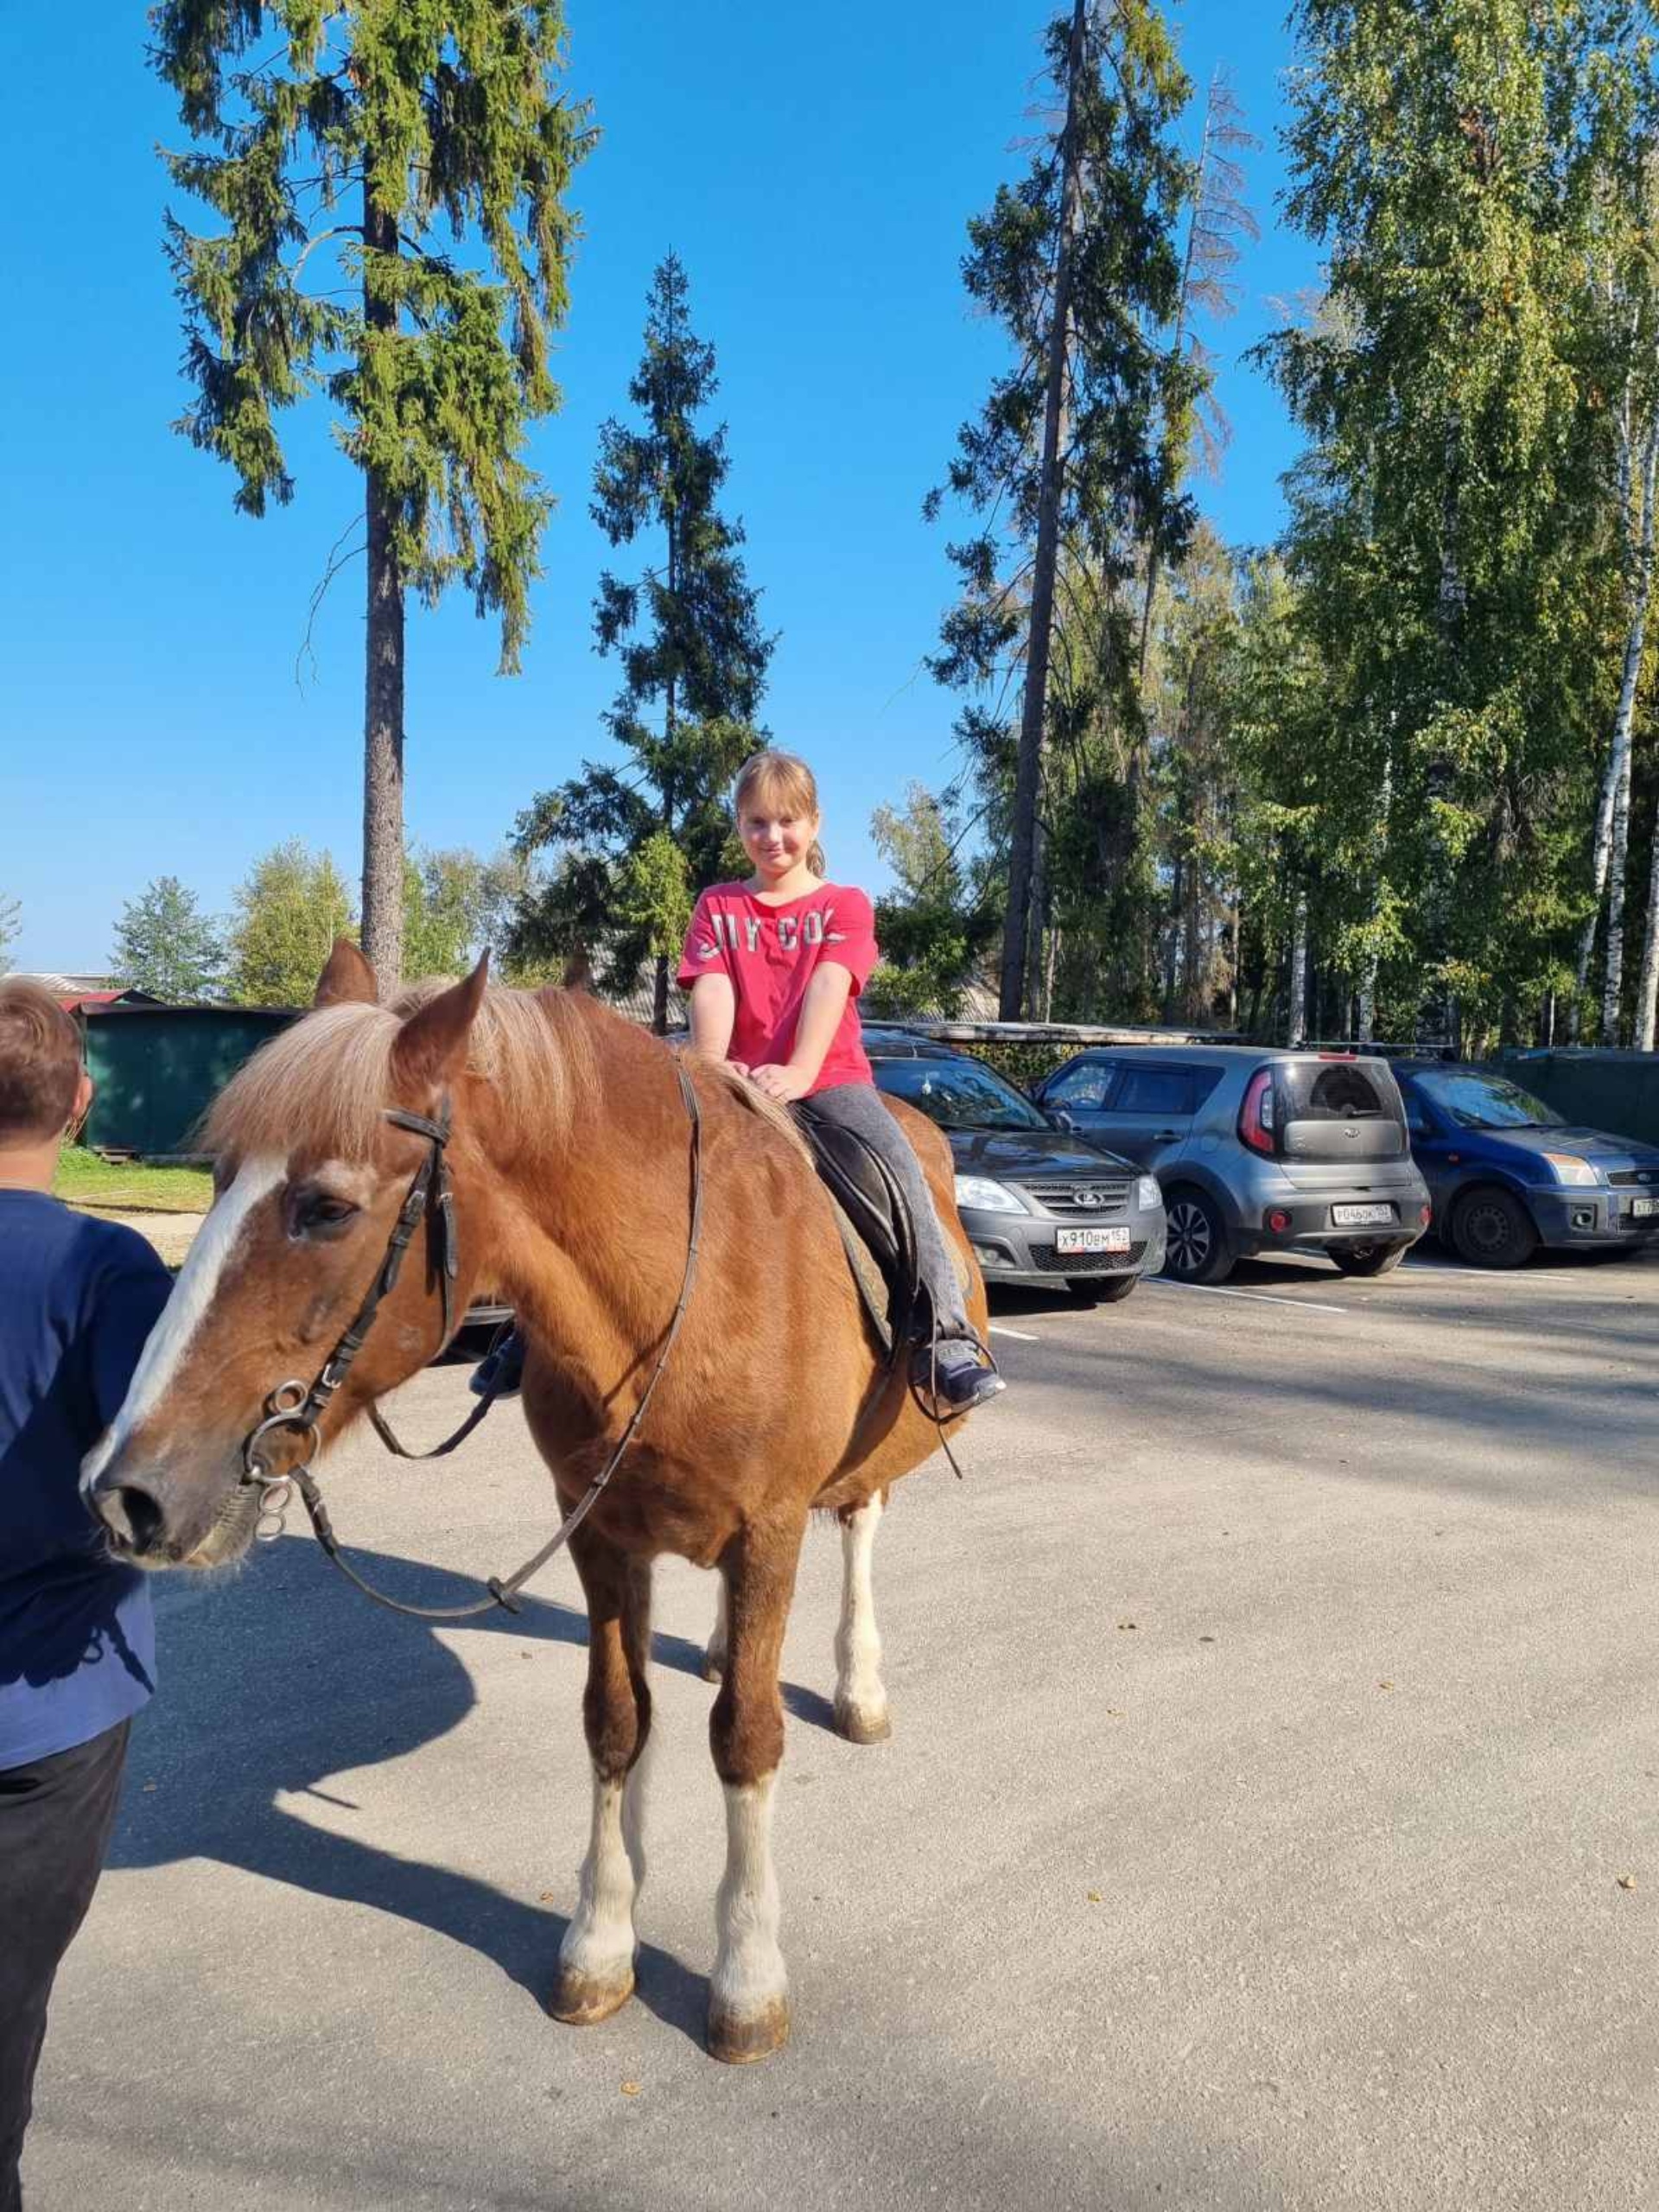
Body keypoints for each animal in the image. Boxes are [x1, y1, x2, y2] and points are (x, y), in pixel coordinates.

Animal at [81, 942, 986, 2061]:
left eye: (327, 1207)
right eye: (215, 1183)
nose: (127, 1494)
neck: (687, 1291)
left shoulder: (769, 1530)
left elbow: (746, 1738)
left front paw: (745, 1975)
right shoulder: (597, 1530)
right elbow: (616, 1720)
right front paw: (599, 1941)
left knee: (858, 1524)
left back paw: (858, 1685)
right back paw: (726, 1645)